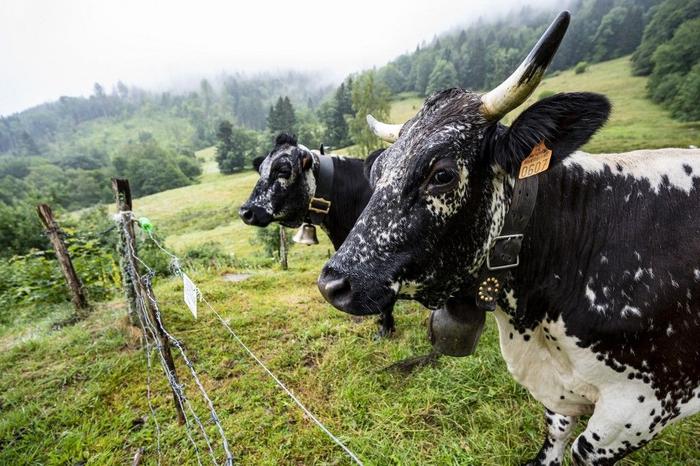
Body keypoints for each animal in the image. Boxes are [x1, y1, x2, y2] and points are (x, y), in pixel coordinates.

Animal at [317, 11, 700, 465]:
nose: (332, 284)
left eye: (441, 174)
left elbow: (581, 449)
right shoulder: (560, 396)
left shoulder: (639, 407)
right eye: (377, 173)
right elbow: (555, 436)